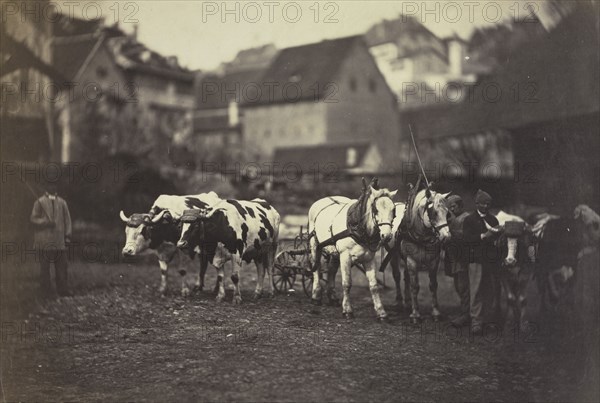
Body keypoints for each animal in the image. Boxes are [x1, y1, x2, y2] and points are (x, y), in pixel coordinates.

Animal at [310, 178, 398, 320]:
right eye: (375, 209)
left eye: (394, 209)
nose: (387, 236)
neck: (359, 228)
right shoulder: (345, 256)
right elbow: (347, 283)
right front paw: (347, 310)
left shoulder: (369, 259)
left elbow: (374, 286)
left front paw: (381, 312)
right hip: (315, 244)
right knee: (316, 268)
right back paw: (316, 296)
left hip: (335, 253)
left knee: (331, 271)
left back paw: (332, 296)